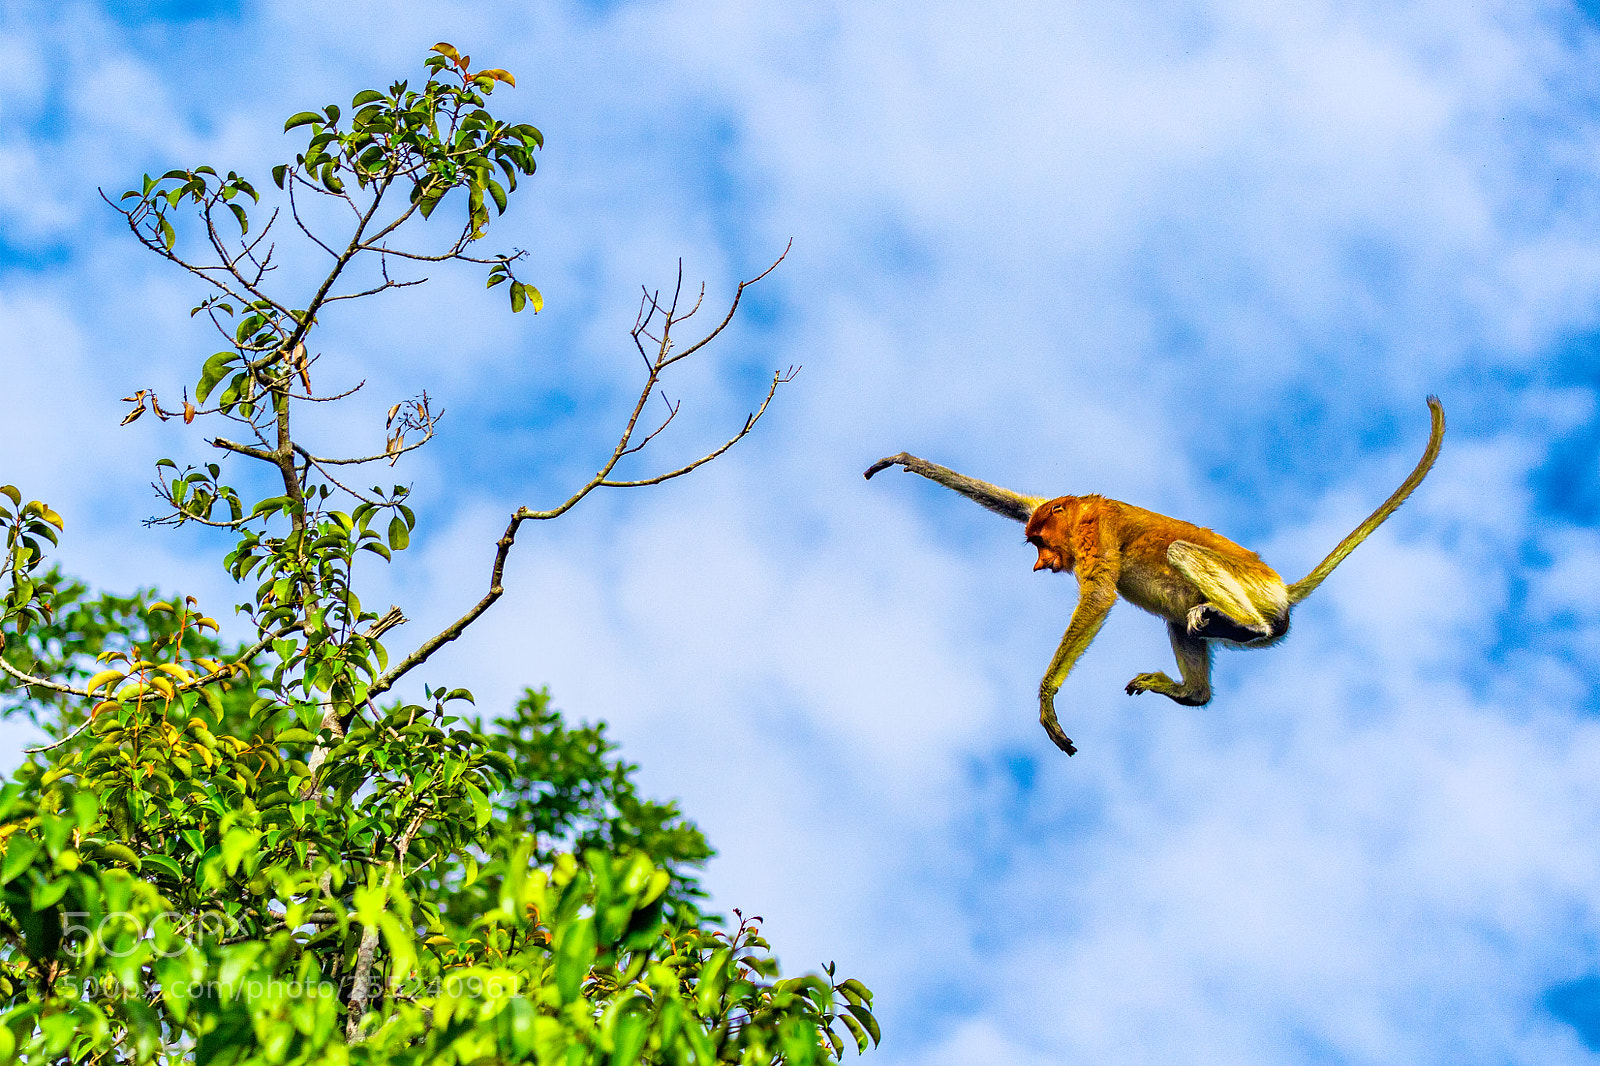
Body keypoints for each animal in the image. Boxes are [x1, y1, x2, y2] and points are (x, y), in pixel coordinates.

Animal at [864, 396, 1445, 756]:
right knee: (1180, 621)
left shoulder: (1094, 532)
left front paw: (1047, 702)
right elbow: (1010, 500)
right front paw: (906, 460)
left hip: (1252, 588)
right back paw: (1191, 689)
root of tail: (1282, 587)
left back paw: (1251, 626)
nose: (1038, 563)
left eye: (1040, 544)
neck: (1078, 512)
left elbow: (1099, 595)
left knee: (1185, 556)